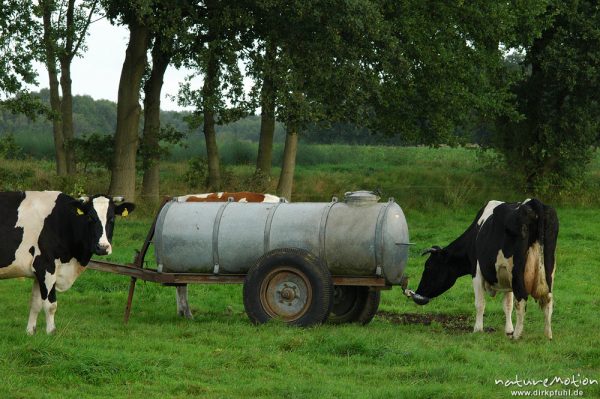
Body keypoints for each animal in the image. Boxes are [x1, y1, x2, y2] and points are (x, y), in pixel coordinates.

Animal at [0, 192, 135, 336]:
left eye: (112, 219)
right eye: (90, 217)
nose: (103, 247)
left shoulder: (38, 272)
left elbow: (35, 303)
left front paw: (30, 332)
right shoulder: (46, 266)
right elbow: (50, 305)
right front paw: (51, 333)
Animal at [408, 200, 556, 340]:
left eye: (428, 266)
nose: (417, 294)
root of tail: (532, 202)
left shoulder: (477, 273)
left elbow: (480, 303)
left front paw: (478, 329)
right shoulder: (505, 277)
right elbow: (507, 305)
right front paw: (508, 330)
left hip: (516, 273)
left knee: (522, 299)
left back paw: (517, 335)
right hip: (548, 271)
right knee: (548, 300)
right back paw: (547, 334)